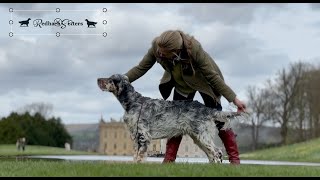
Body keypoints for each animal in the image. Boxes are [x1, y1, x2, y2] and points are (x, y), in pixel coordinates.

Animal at [97, 74, 248, 164]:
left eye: (110, 79)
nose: (98, 79)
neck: (133, 102)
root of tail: (207, 109)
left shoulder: (143, 135)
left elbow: (139, 156)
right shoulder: (135, 136)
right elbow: (135, 155)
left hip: (203, 136)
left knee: (217, 152)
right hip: (198, 138)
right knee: (212, 154)